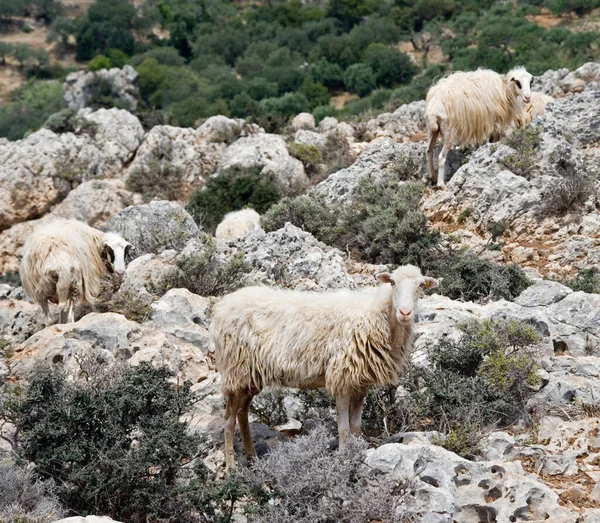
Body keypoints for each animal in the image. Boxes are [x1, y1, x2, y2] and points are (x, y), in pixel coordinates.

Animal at [209, 266, 438, 470]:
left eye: (420, 286)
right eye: (392, 283)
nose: (405, 312)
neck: (376, 315)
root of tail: (221, 307)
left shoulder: (360, 381)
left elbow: (356, 425)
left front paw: (358, 452)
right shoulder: (342, 376)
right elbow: (344, 428)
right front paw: (344, 457)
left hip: (249, 376)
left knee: (242, 413)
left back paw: (252, 457)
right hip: (236, 369)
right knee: (229, 420)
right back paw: (232, 467)